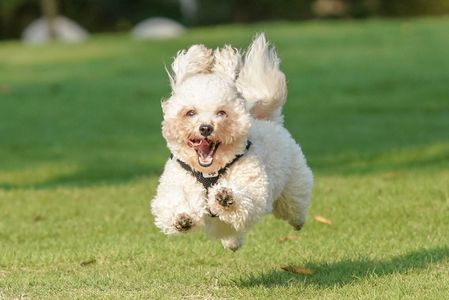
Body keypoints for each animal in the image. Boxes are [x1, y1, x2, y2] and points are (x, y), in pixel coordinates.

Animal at [150, 33, 312, 251]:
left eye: (221, 112)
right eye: (190, 112)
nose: (206, 128)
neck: (209, 172)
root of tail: (266, 119)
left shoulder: (254, 187)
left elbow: (247, 200)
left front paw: (226, 197)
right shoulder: (176, 184)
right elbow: (170, 205)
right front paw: (182, 218)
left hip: (293, 184)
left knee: (293, 204)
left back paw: (297, 220)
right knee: (230, 231)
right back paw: (232, 243)